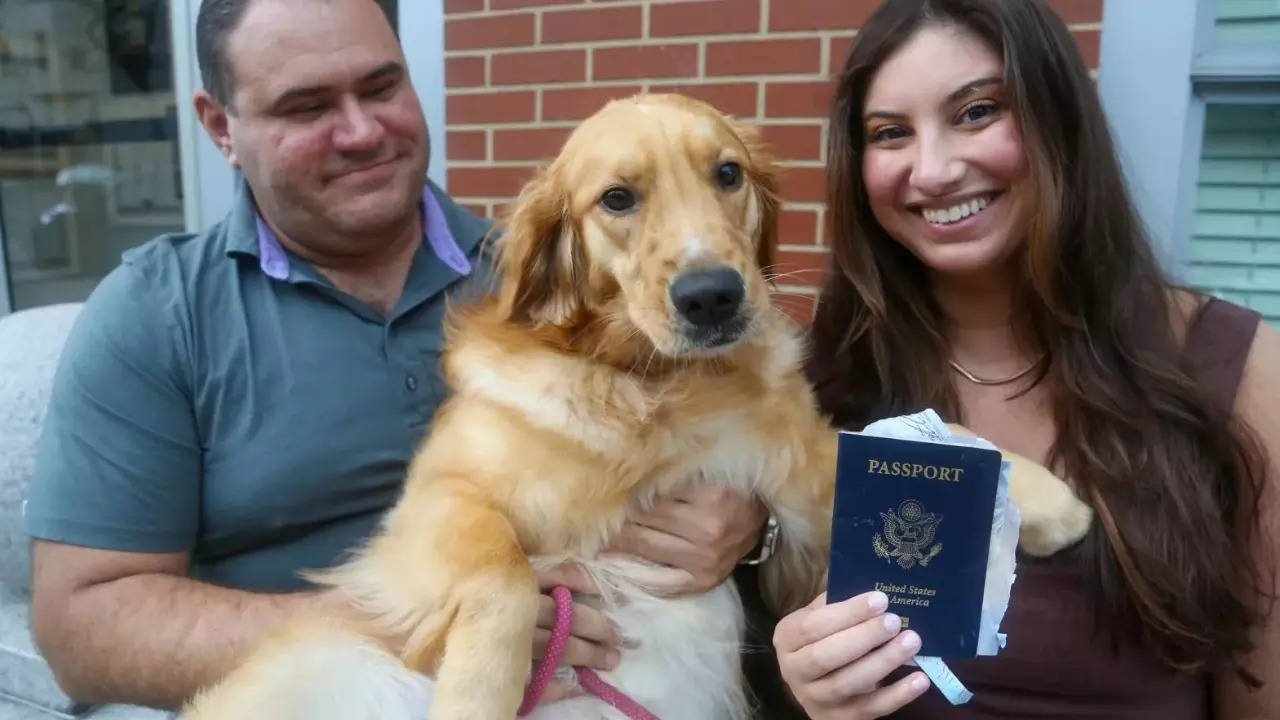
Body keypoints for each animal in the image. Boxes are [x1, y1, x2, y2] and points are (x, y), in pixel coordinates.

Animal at [185, 95, 1095, 717]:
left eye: (727, 174)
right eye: (617, 199)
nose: (712, 297)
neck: (652, 388)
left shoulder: (794, 477)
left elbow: (905, 442)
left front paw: (1049, 501)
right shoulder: (437, 500)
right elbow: (504, 575)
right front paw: (478, 695)